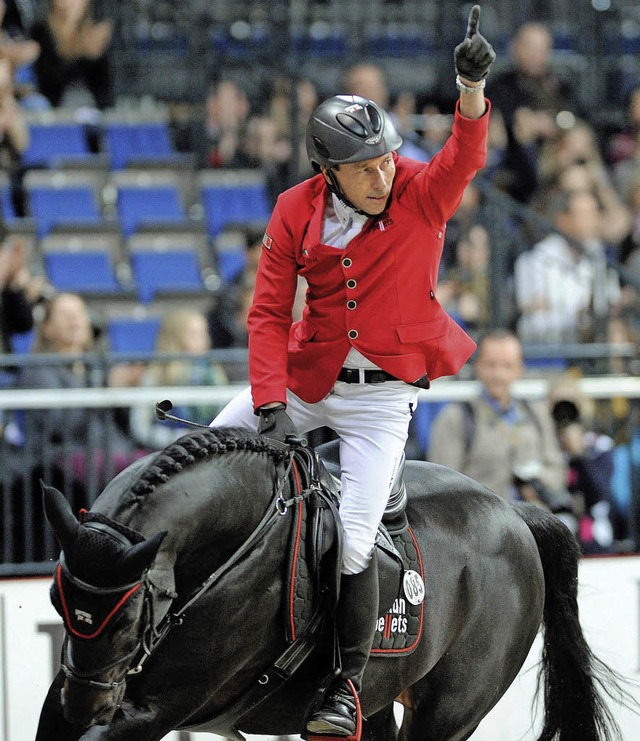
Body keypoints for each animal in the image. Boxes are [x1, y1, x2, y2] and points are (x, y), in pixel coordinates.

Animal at [33, 424, 624, 740]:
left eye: (128, 618)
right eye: (57, 602)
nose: (84, 705)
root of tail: (514, 512)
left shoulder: (156, 709)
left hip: (450, 711)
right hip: (379, 700)